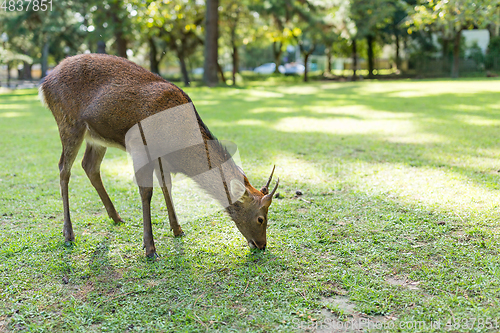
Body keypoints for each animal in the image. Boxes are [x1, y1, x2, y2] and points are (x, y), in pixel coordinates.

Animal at [39, 53, 280, 256]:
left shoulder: (160, 156)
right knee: (63, 169)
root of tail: (44, 83)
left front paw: (177, 229)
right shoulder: (139, 145)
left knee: (89, 165)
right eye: (261, 219)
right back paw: (69, 233)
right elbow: (147, 192)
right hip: (69, 123)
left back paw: (116, 217)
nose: (262, 245)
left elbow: (166, 186)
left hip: (96, 137)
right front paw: (150, 248)